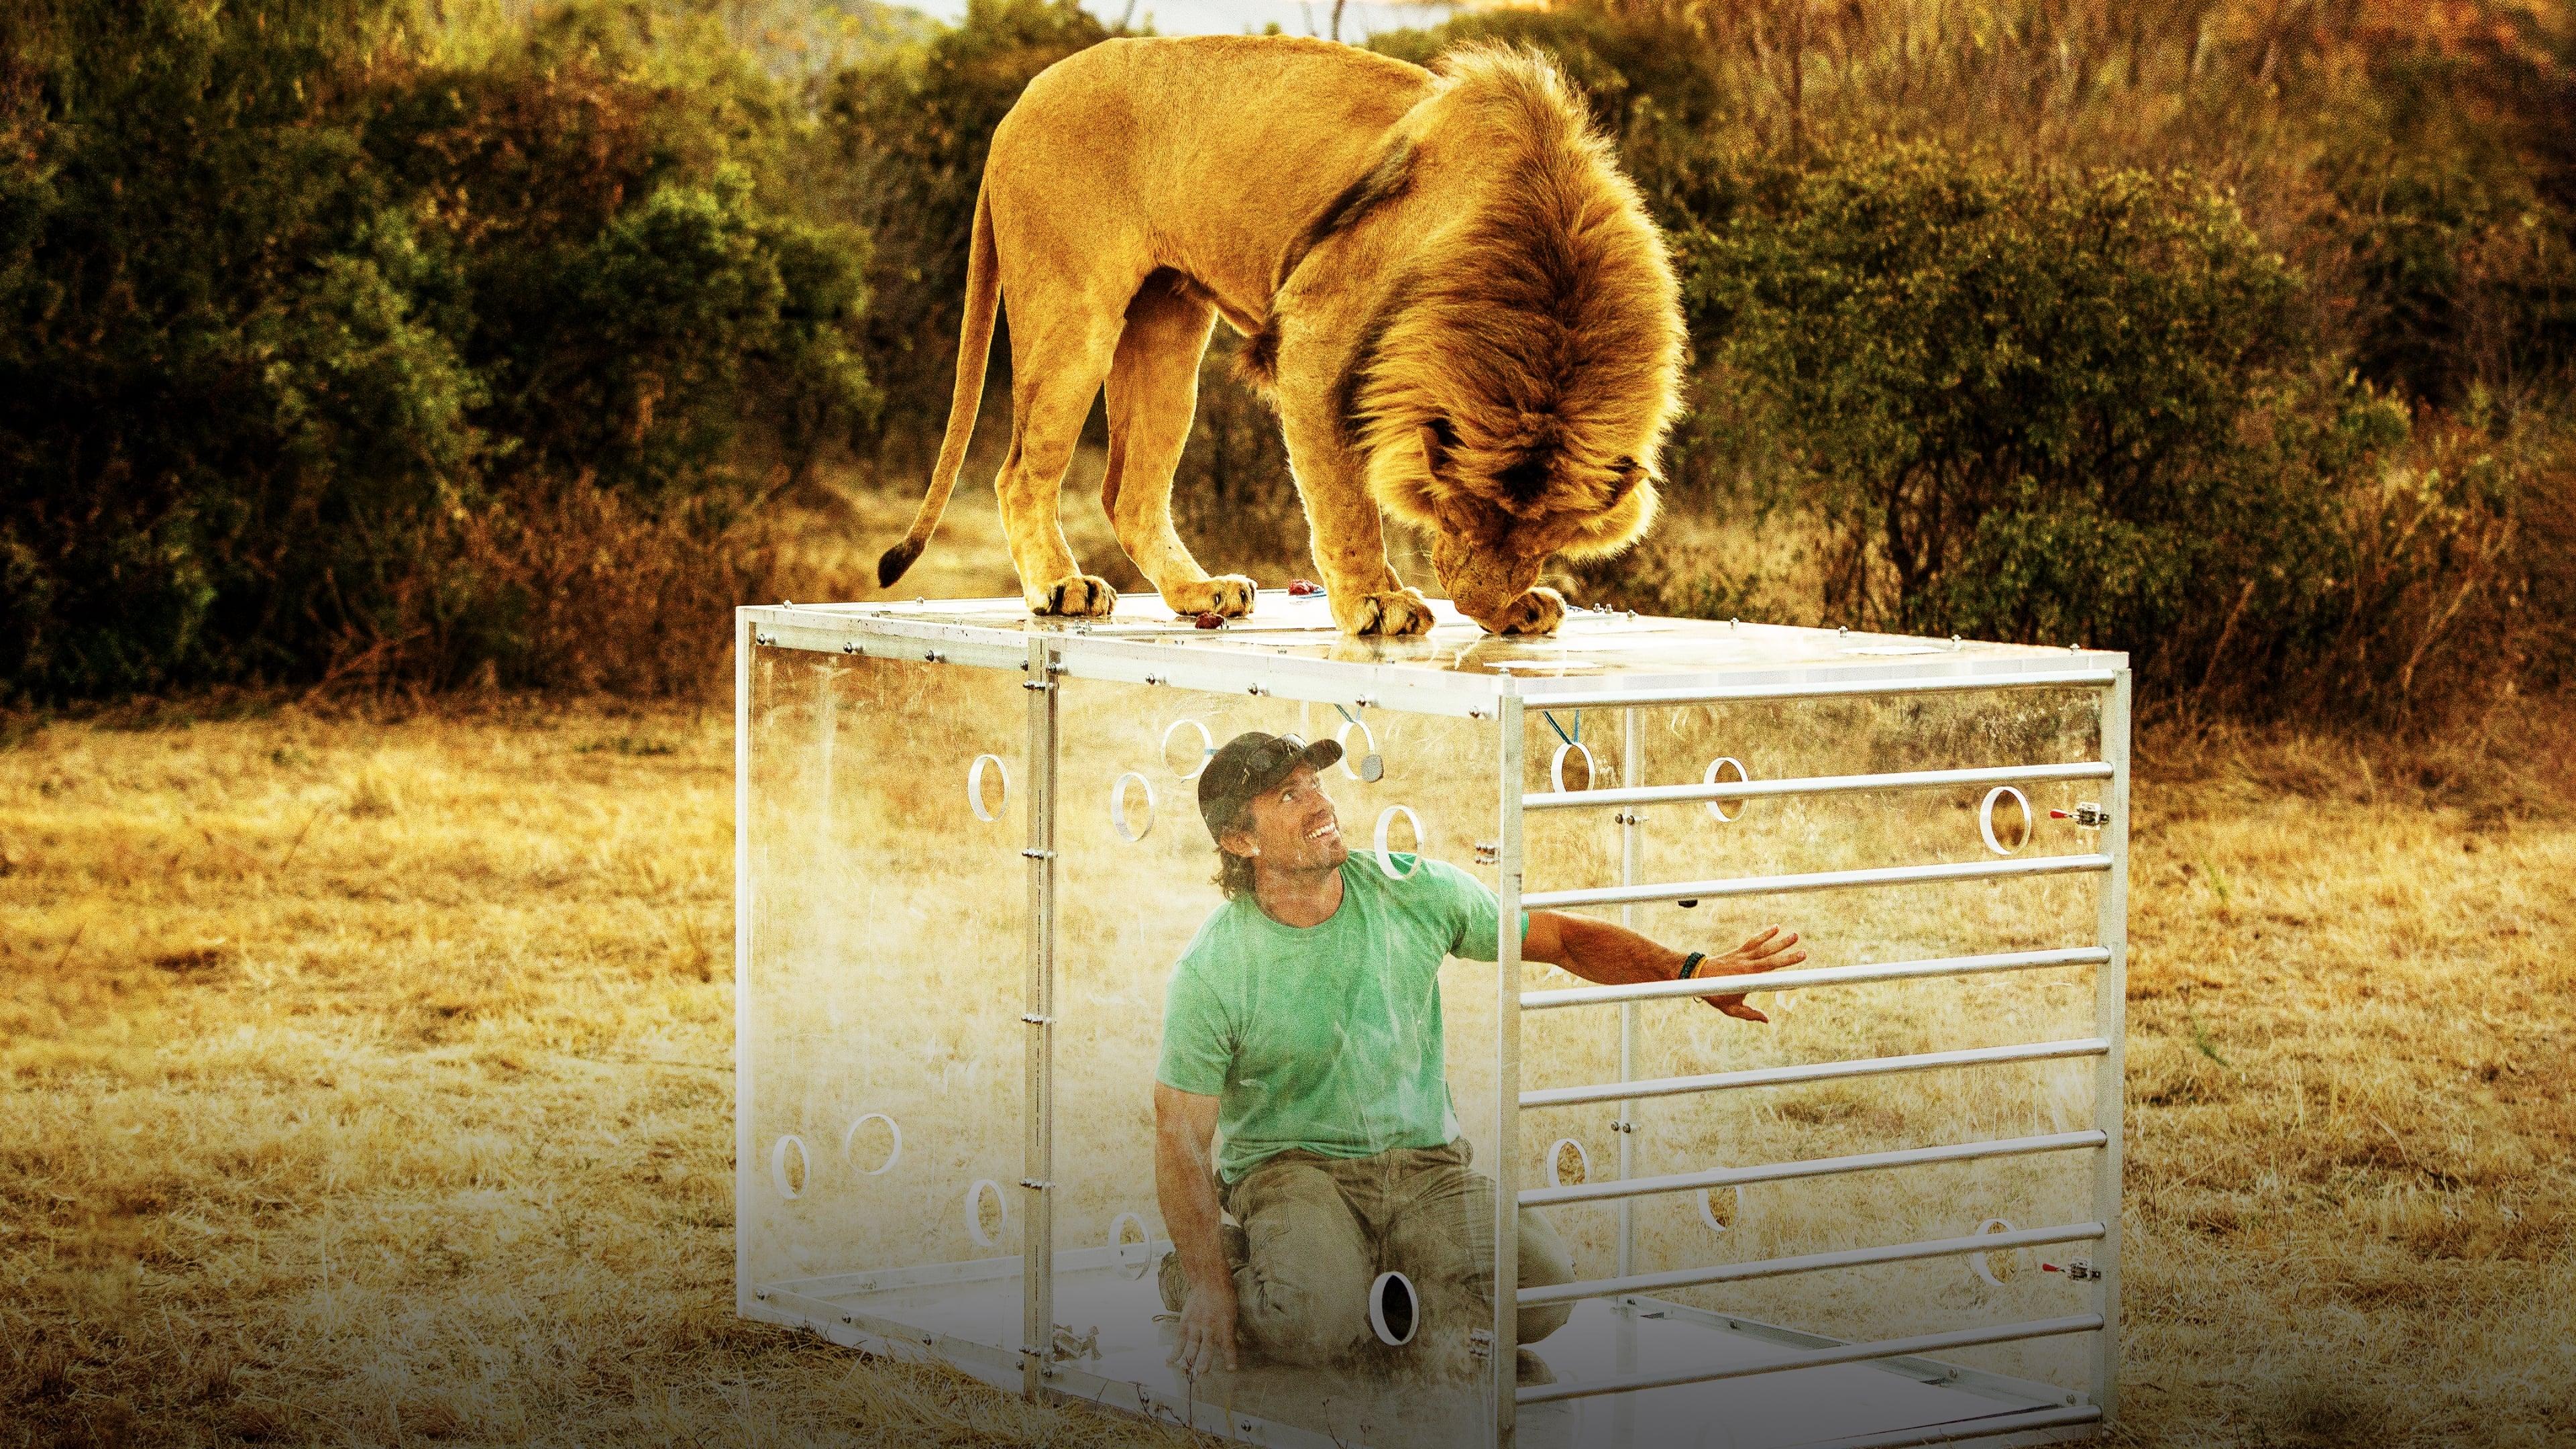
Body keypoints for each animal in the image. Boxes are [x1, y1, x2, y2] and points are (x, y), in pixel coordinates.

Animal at [881, 32, 1690, 631]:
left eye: (1546, 537)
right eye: (1455, 514)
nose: (1483, 605)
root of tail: (1016, 105)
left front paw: (1509, 606)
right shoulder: (1313, 337)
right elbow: (1343, 497)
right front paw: (1377, 600)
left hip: (1169, 331)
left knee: (1129, 492)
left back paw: (1199, 593)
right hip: (1074, 317)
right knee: (1021, 472)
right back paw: (1061, 587)